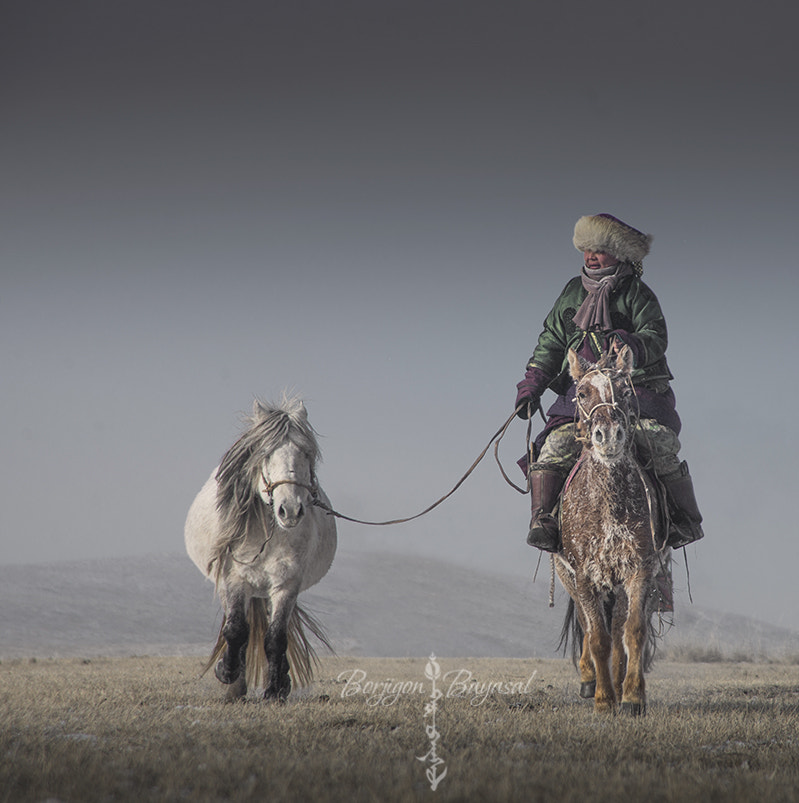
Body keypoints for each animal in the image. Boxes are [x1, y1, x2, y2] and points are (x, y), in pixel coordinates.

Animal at [185, 398, 338, 700]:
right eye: (266, 455)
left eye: (305, 453)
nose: (290, 510)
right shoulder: (234, 580)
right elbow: (236, 630)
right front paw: (227, 673)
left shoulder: (286, 585)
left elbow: (276, 636)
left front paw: (275, 690)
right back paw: (235, 685)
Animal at [556, 348, 668, 716]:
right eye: (581, 393)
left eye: (626, 391)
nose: (608, 435)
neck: (608, 507)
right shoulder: (584, 576)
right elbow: (597, 637)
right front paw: (604, 699)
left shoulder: (640, 569)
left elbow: (632, 632)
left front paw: (631, 696)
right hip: (567, 576)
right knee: (587, 623)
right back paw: (591, 680)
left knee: (619, 627)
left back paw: (619, 684)